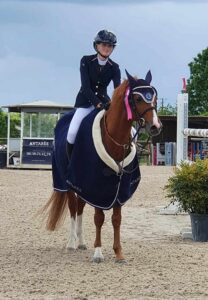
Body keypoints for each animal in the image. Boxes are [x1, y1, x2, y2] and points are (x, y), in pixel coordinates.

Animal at [42, 70, 162, 262]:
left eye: (155, 98)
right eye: (137, 98)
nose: (155, 126)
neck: (114, 138)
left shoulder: (119, 187)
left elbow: (116, 219)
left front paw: (119, 253)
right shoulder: (97, 185)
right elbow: (99, 218)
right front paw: (98, 252)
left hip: (83, 186)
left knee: (80, 208)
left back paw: (81, 242)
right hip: (68, 183)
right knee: (73, 209)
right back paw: (71, 243)